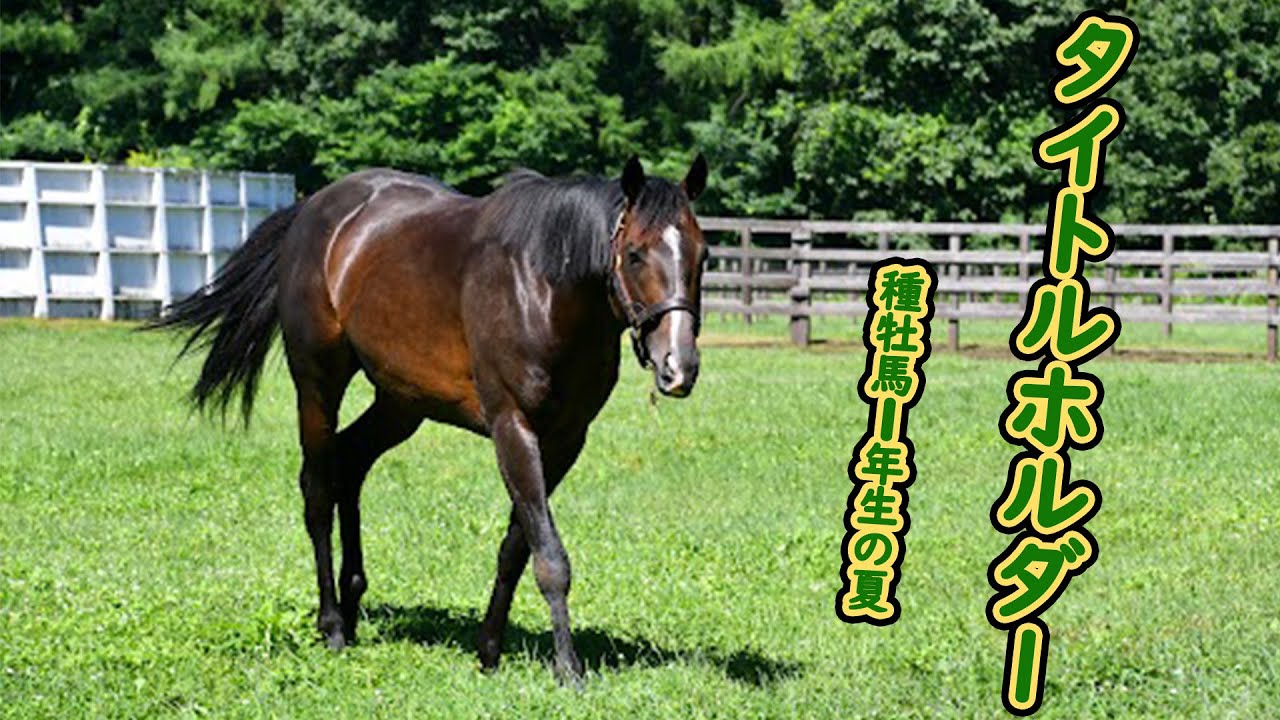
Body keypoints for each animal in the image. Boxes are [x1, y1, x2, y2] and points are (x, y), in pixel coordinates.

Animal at [148, 154, 709, 683]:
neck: (543, 285)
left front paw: (488, 651)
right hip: (318, 384)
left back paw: (352, 604)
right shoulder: (512, 427)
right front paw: (568, 669)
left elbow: (517, 546)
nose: (678, 367)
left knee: (350, 464)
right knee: (318, 488)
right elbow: (550, 557)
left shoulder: (566, 439)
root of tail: (312, 211)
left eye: (703, 255)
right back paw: (332, 625)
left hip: (400, 404)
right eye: (635, 253)